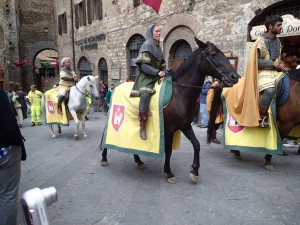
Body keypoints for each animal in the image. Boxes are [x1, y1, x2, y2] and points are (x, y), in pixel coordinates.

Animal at [101, 37, 239, 184]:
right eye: (213, 54)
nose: (235, 77)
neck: (180, 93)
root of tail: (115, 89)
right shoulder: (169, 128)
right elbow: (168, 151)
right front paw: (169, 173)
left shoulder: (185, 125)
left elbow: (196, 145)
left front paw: (194, 171)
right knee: (105, 135)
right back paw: (104, 158)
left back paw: (139, 161)